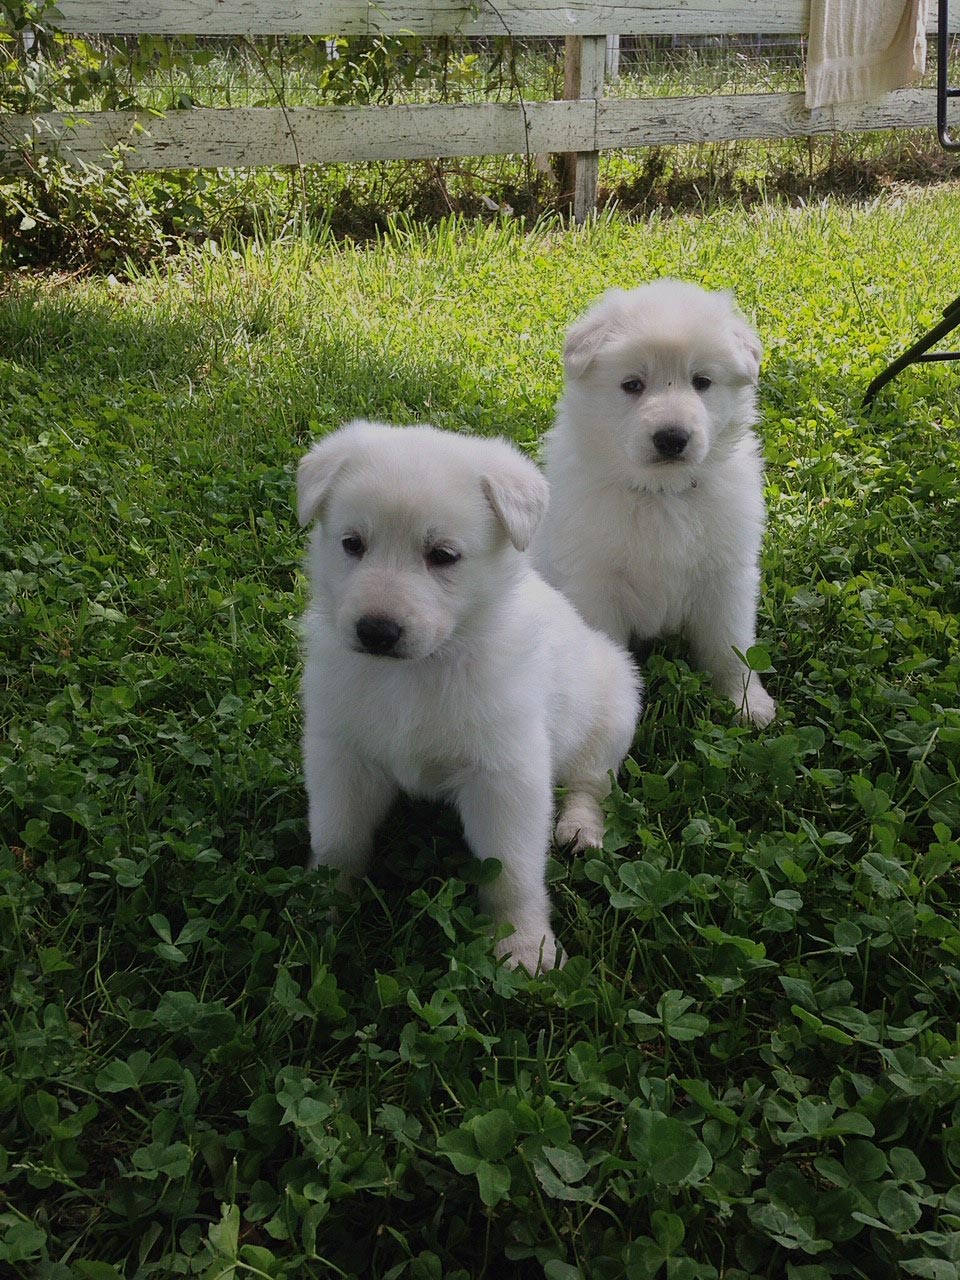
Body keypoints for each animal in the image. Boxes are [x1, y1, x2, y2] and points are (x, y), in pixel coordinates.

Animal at [296, 419, 642, 967]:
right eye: (352, 543)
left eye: (443, 556)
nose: (376, 631)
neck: (417, 672)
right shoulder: (341, 755)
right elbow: (337, 840)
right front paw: (322, 907)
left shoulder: (504, 774)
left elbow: (512, 872)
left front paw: (524, 943)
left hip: (613, 714)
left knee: (589, 784)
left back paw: (581, 829)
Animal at [537, 280, 778, 732]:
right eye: (633, 385)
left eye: (702, 381)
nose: (672, 438)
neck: (663, 494)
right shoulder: (596, 585)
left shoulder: (726, 580)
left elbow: (730, 648)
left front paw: (747, 704)